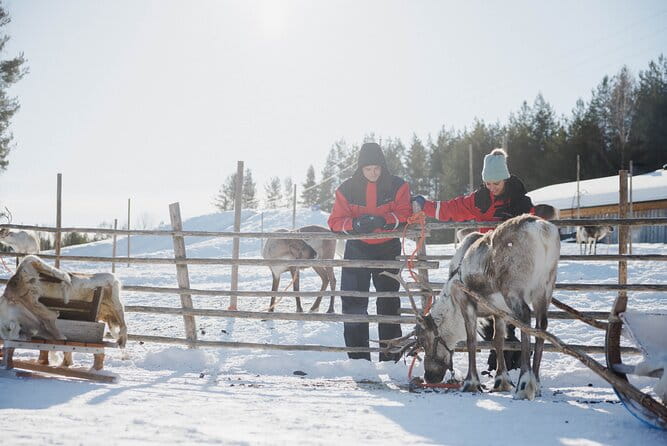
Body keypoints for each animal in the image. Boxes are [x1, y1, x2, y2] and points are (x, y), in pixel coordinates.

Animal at [387, 214, 560, 400]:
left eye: (424, 341)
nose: (429, 377)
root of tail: (542, 229)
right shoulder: (498, 311)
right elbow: (498, 341)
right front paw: (501, 382)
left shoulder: (466, 301)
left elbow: (471, 340)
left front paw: (471, 383)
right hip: (545, 287)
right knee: (542, 326)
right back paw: (537, 384)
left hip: (514, 290)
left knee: (526, 319)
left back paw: (524, 385)